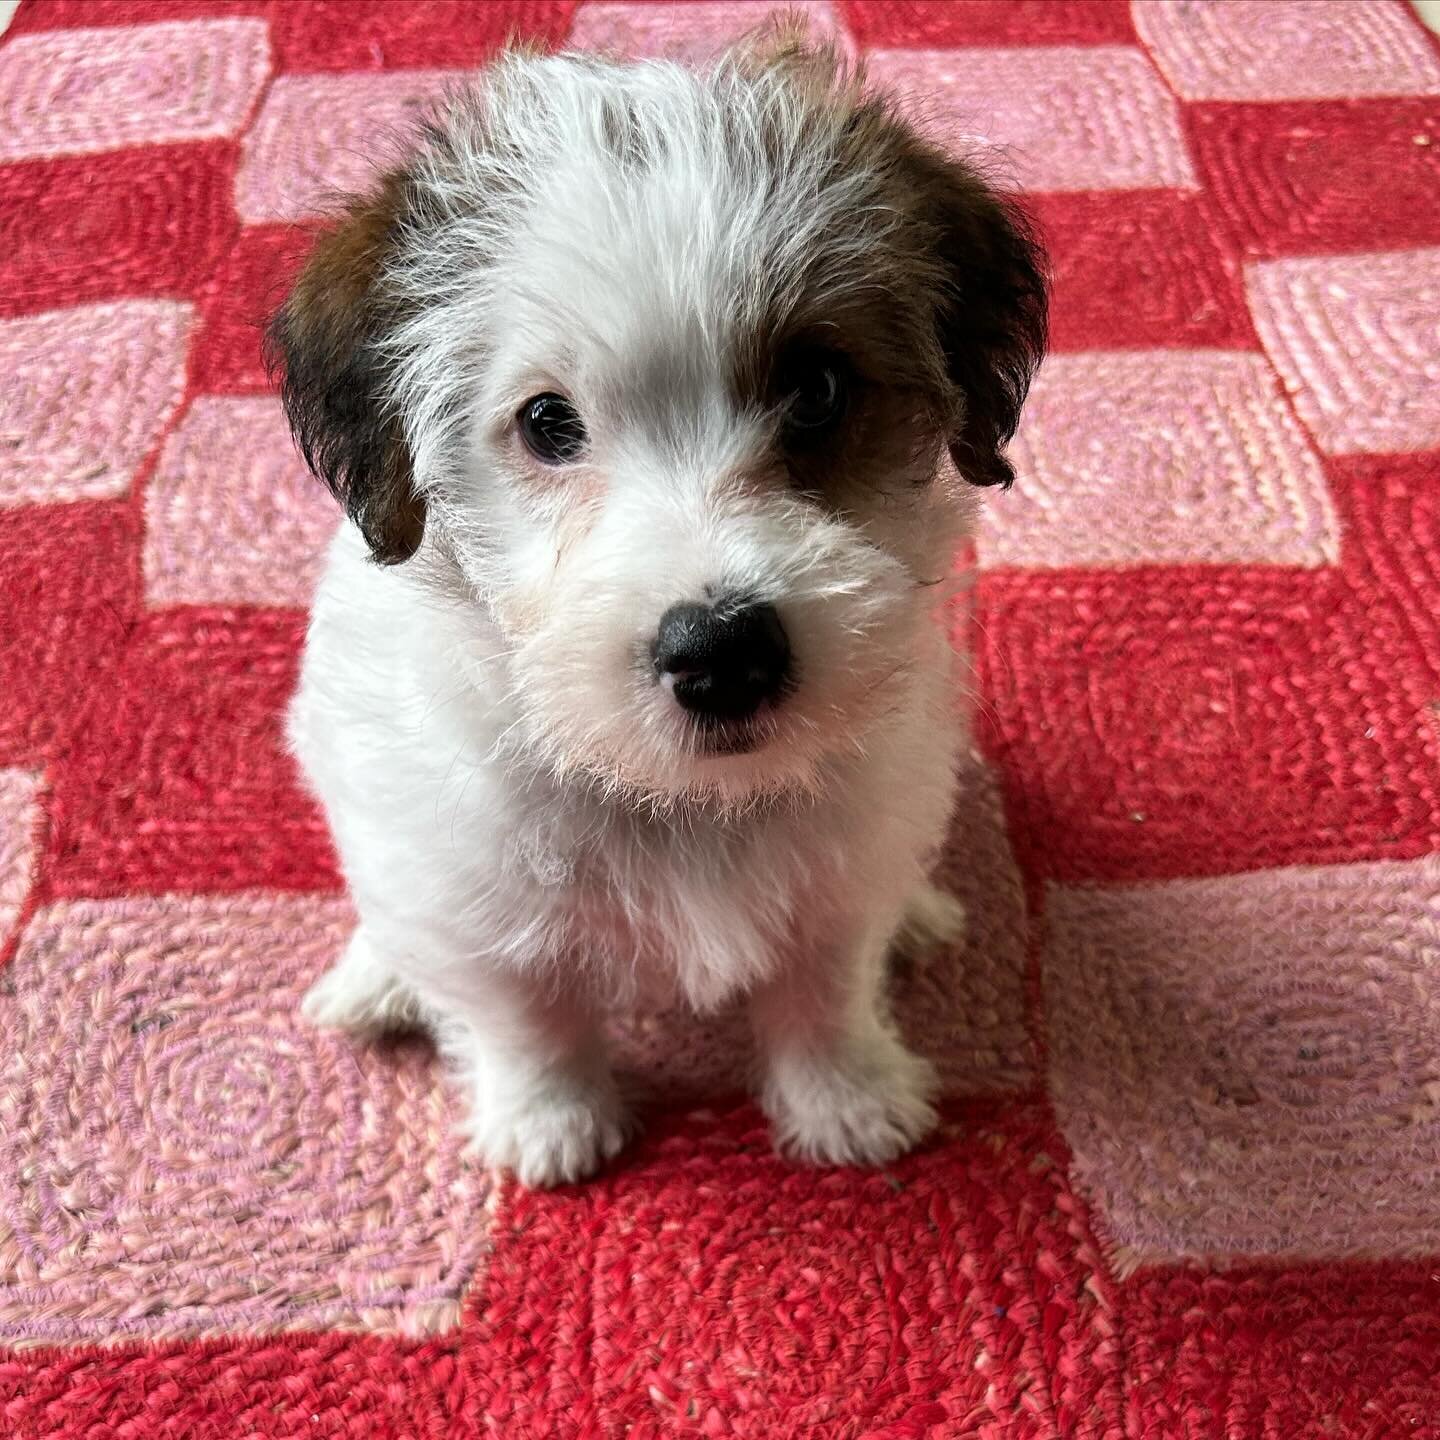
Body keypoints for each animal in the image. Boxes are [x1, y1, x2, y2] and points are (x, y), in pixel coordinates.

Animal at [267, 28, 1048, 1186]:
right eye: (548, 422)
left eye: (817, 388)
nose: (722, 652)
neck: (677, 802)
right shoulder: (472, 893)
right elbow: (525, 1013)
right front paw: (550, 1122)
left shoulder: (842, 870)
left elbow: (825, 987)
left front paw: (848, 1100)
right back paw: (375, 979)